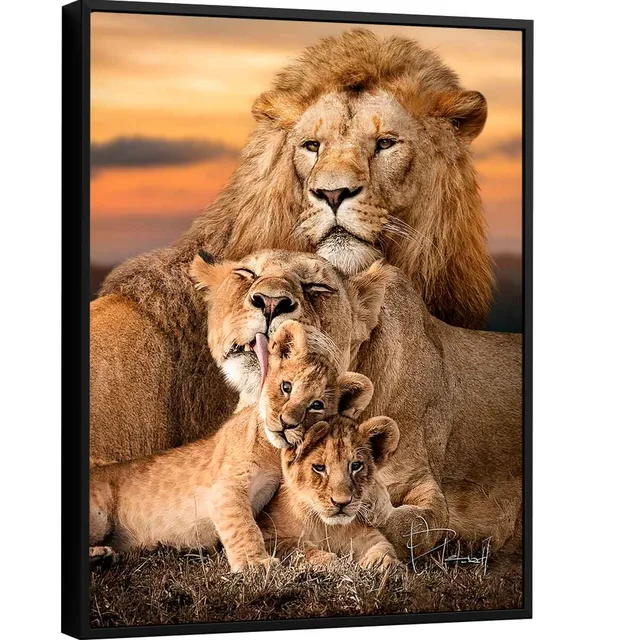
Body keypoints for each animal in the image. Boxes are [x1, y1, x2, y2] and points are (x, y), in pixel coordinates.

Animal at [89, 319, 375, 572]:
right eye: (286, 387)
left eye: (317, 405)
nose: (286, 423)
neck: (273, 452)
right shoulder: (226, 487)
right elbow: (243, 525)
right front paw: (254, 564)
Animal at [259, 414, 400, 571]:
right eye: (319, 468)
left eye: (356, 466)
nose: (342, 503)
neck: (325, 527)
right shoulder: (268, 535)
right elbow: (294, 545)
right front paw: (326, 560)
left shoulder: (363, 533)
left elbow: (382, 544)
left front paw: (380, 561)